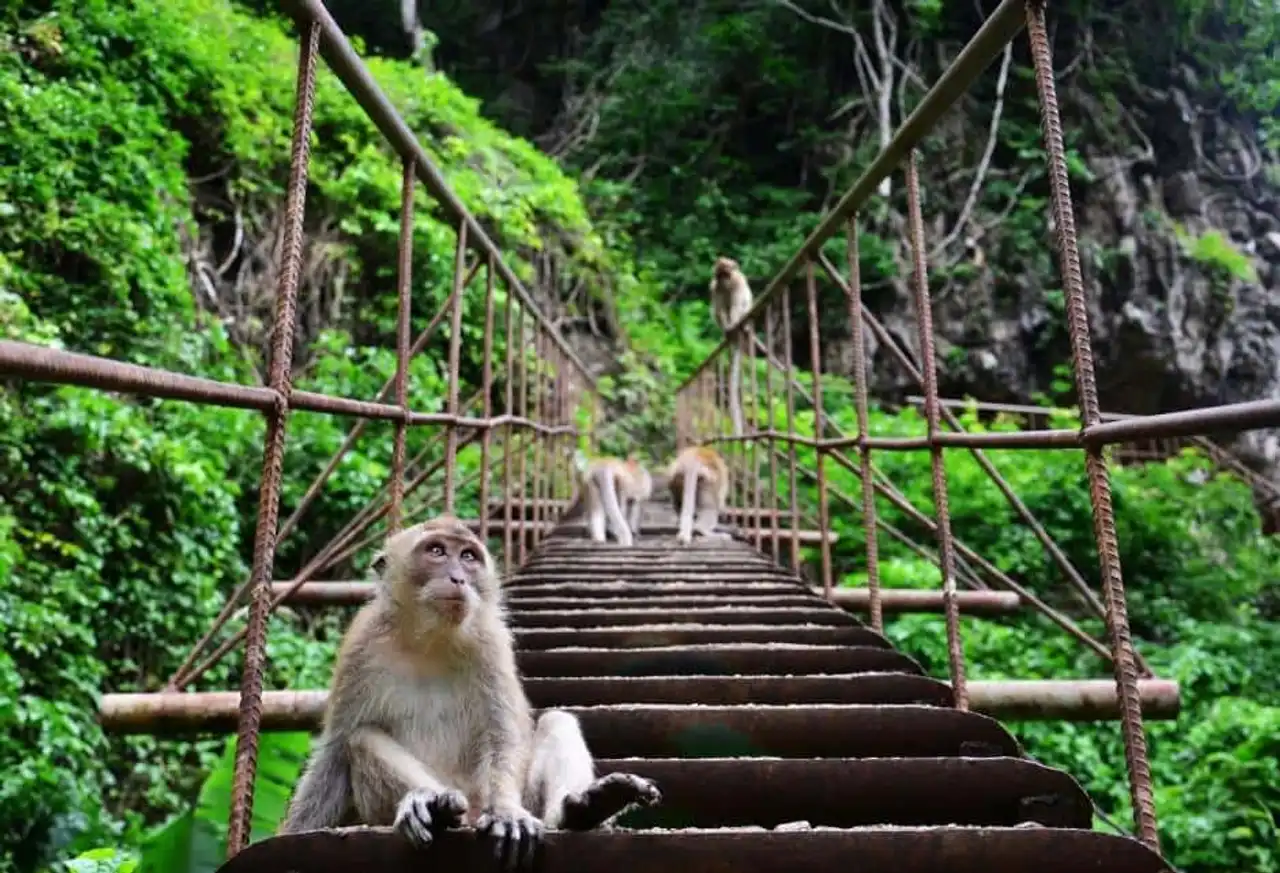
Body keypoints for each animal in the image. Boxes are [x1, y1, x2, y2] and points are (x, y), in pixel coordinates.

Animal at [277, 517, 660, 865]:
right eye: (436, 551)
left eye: (468, 556)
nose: (458, 577)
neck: (429, 640)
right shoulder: (360, 647)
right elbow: (335, 750)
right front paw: (295, 830)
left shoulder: (490, 644)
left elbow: (503, 734)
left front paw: (506, 812)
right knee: (361, 739)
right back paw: (433, 805)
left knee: (557, 721)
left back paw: (582, 809)